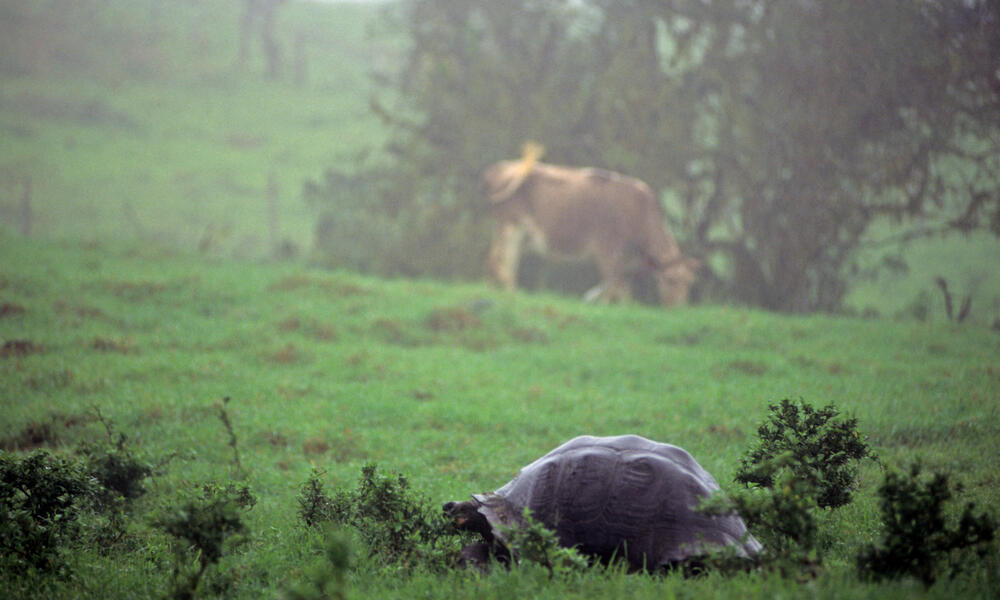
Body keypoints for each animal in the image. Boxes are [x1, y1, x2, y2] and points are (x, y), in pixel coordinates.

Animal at [482, 145, 700, 304]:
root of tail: (499, 168)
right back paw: (506, 294)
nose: (677, 308)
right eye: (670, 280)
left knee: (500, 260)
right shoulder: (607, 246)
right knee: (500, 261)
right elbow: (614, 285)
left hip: (511, 231)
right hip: (510, 226)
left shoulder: (625, 261)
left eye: (690, 283)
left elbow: (619, 287)